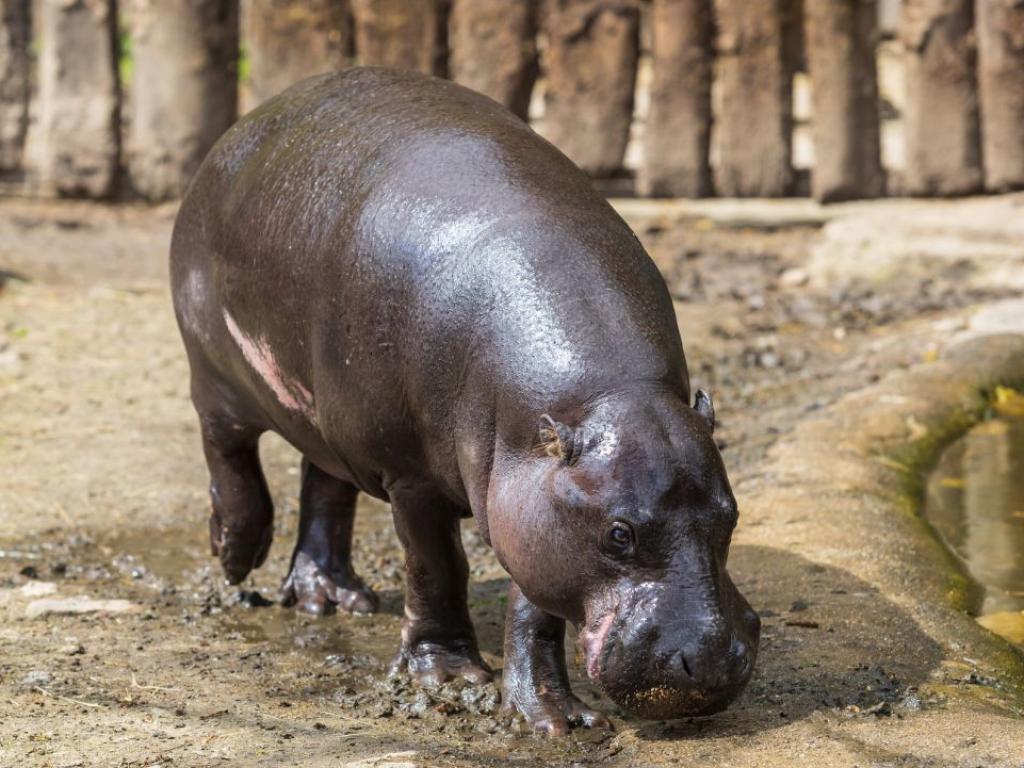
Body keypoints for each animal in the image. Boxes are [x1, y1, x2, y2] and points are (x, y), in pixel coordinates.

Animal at [169, 69, 761, 737]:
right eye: (619, 534)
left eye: (732, 515)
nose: (709, 662)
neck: (608, 395)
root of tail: (253, 119)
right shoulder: (413, 478)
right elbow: (437, 568)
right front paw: (449, 678)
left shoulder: (531, 499)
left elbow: (535, 608)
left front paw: (553, 717)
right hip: (214, 370)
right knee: (228, 451)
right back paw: (235, 554)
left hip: (330, 414)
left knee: (325, 481)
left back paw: (331, 598)